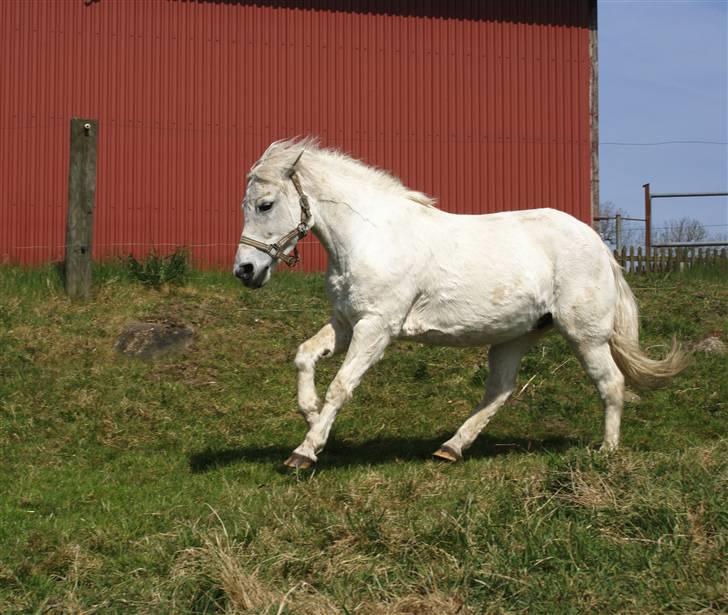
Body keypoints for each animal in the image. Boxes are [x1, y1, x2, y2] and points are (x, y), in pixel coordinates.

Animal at [235, 137, 688, 470]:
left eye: (265, 204)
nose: (245, 270)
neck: (371, 237)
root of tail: (600, 246)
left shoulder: (376, 327)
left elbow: (342, 385)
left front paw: (304, 452)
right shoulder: (347, 323)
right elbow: (305, 356)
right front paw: (311, 416)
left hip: (586, 336)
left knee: (611, 383)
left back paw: (607, 452)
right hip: (515, 336)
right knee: (500, 391)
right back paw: (450, 449)